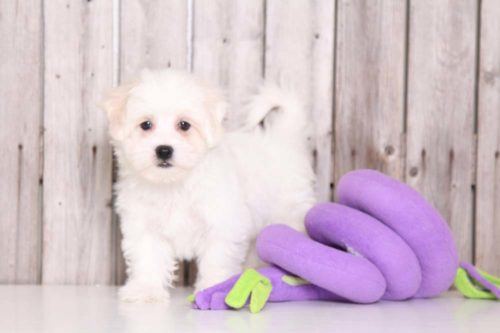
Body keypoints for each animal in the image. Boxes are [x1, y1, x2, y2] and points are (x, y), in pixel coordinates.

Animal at [103, 69, 314, 300]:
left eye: (184, 125)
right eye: (146, 125)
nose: (164, 150)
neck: (174, 184)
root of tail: (283, 137)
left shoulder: (223, 224)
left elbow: (217, 258)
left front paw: (214, 286)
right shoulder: (143, 227)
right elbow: (147, 259)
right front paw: (145, 291)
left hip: (289, 212)